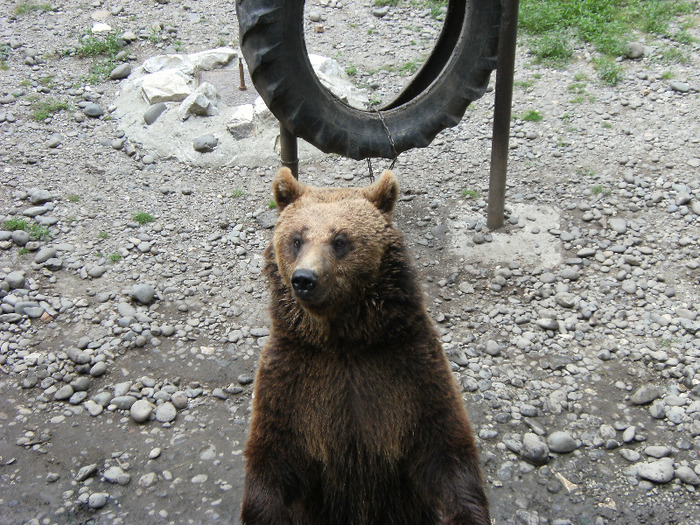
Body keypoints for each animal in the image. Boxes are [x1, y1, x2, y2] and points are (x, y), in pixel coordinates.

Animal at [243, 168, 490, 524]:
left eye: (340, 240)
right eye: (296, 239)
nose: (304, 279)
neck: (344, 342)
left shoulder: (410, 370)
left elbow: (445, 448)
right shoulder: (291, 380)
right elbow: (272, 460)